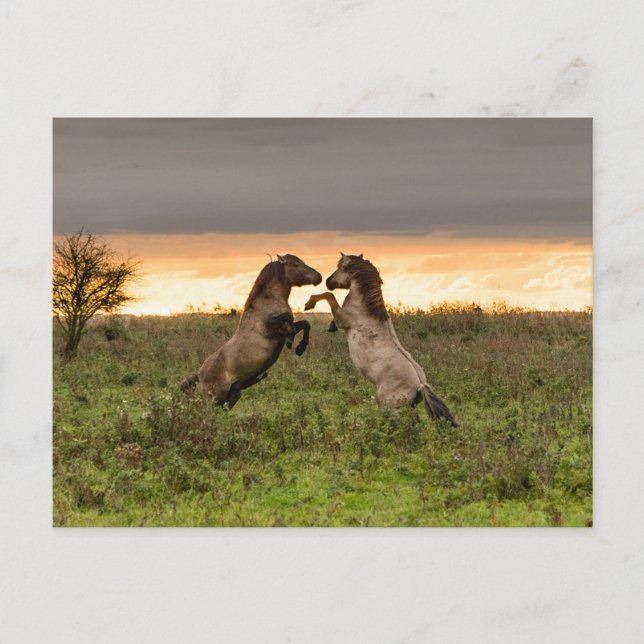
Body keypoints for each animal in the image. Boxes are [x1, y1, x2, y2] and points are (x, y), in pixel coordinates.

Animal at [182, 254, 322, 408]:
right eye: (296, 264)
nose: (319, 277)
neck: (267, 302)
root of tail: (198, 376)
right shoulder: (270, 328)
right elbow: (289, 317)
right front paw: (291, 342)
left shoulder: (283, 330)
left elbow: (305, 324)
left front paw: (300, 348)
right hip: (214, 400)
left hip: (231, 397)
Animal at [305, 252, 457, 426]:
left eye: (340, 267)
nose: (328, 281)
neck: (363, 308)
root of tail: (420, 385)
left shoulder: (342, 318)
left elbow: (329, 296)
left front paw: (309, 304)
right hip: (408, 407)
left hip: (388, 406)